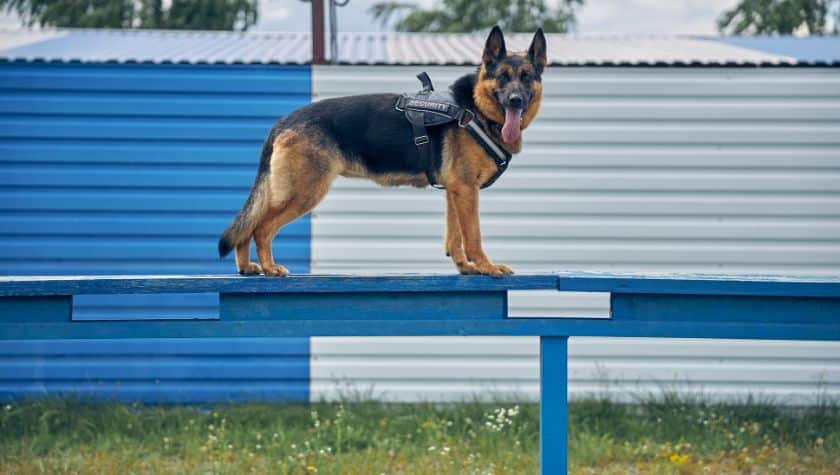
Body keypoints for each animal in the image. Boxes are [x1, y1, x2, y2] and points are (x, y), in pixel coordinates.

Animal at [218, 26, 544, 278]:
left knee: (247, 227)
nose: (515, 100)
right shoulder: (466, 190)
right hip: (304, 192)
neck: (474, 108)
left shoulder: (456, 191)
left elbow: (454, 238)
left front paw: (466, 267)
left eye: (526, 76)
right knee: (261, 228)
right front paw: (487, 267)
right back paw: (270, 267)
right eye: (503, 76)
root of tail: (284, 121)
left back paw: (248, 267)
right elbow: (473, 235)